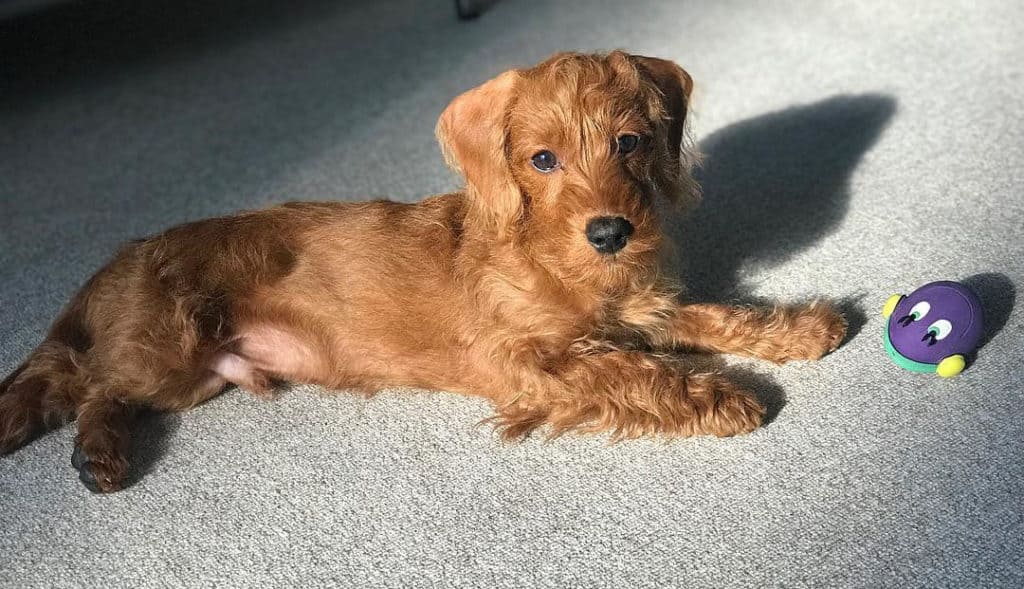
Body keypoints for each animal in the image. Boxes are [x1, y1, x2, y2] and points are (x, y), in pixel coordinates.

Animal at [0, 51, 847, 493]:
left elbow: (712, 314)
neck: (548, 252)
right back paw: (96, 452)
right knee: (84, 381)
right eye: (543, 159)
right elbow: (638, 372)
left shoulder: (640, 308)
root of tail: (121, 256)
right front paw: (725, 395)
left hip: (199, 372)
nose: (611, 231)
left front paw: (800, 328)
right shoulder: (526, 358)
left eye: (631, 142)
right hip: (168, 351)